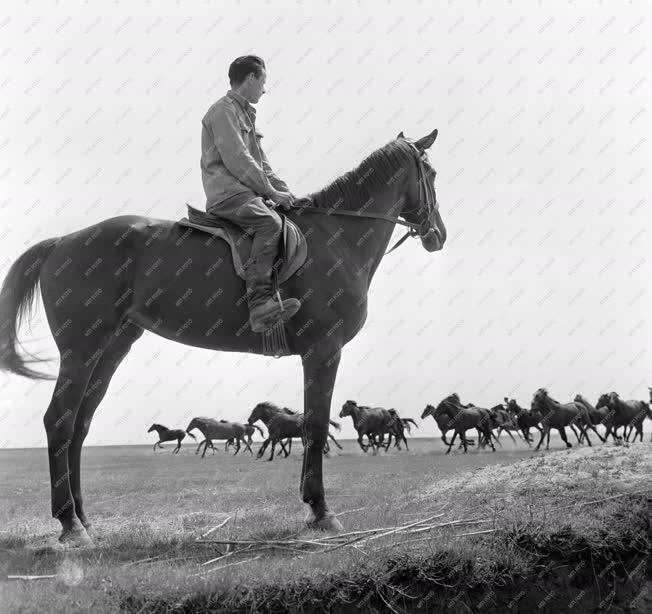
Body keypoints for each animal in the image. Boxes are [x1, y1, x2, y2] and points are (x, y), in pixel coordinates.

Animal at [0, 129, 444, 544]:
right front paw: (320, 510)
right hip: (81, 351)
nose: (437, 233)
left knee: (79, 425)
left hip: (110, 350)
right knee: (59, 420)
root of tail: (61, 242)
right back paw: (70, 523)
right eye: (433, 174)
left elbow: (308, 427)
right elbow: (315, 428)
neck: (336, 237)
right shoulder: (324, 351)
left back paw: (82, 517)